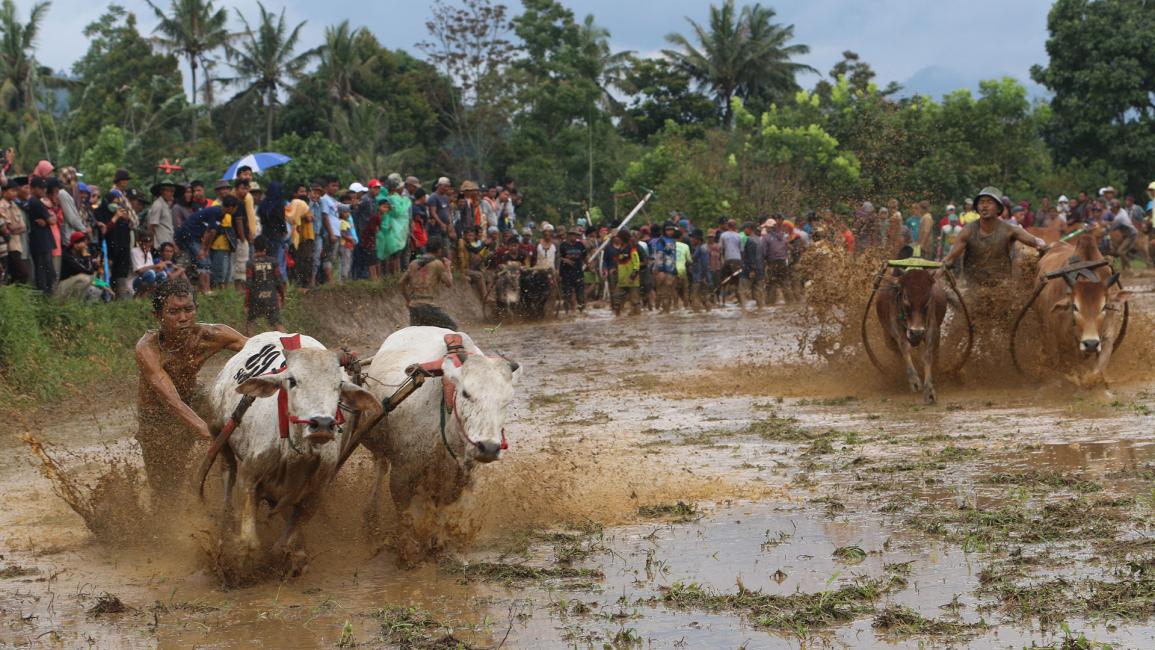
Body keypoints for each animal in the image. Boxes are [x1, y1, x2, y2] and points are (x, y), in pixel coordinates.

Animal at [207, 332, 378, 572]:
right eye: (293, 381)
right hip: (217, 432)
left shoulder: (315, 493)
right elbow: (249, 541)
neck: (296, 454)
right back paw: (225, 524)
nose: (322, 424)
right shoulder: (248, 476)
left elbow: (284, 544)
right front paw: (235, 566)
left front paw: (291, 560)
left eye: (338, 385)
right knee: (227, 473)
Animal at [360, 327, 519, 556]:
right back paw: (370, 517)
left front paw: (438, 541)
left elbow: (442, 509)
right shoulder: (403, 471)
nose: (488, 448)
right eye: (465, 393)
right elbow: (404, 514)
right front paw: (408, 549)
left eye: (507, 400)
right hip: (377, 444)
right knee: (380, 466)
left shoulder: (461, 475)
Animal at [873, 267, 947, 401]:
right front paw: (914, 380)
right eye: (906, 302)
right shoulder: (896, 330)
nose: (916, 332)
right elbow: (904, 348)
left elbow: (928, 355)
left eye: (927, 302)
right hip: (888, 337)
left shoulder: (931, 328)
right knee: (897, 351)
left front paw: (929, 390)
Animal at [1030, 234, 1127, 385]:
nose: (1091, 343)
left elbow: (1096, 371)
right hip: (1043, 327)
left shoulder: (1107, 338)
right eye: (1075, 307)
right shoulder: (1063, 342)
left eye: (1104, 306)